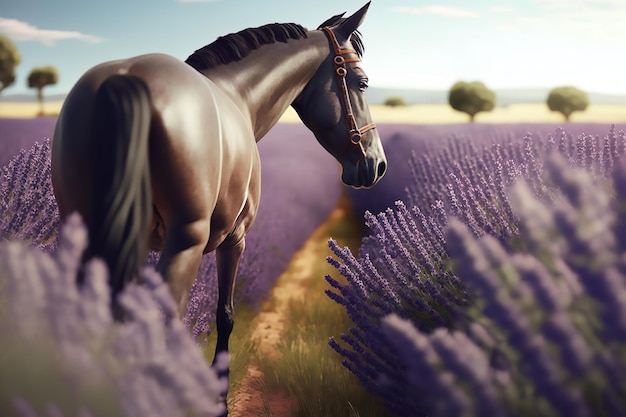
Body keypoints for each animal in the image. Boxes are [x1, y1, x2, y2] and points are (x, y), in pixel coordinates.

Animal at [51, 0, 382, 410]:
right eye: (362, 82)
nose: (377, 164)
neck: (239, 96)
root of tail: (125, 79)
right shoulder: (234, 238)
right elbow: (225, 314)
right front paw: (219, 398)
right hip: (185, 242)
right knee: (165, 325)